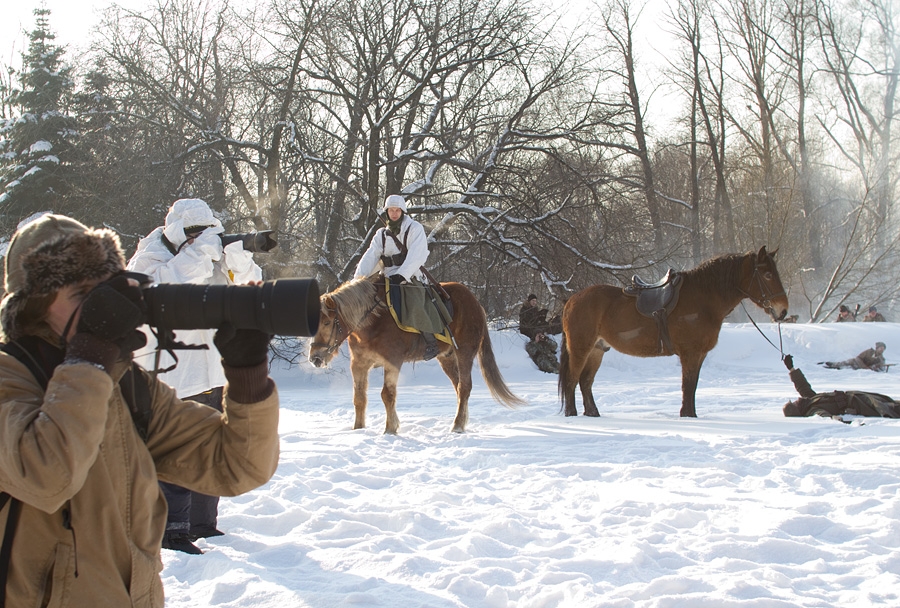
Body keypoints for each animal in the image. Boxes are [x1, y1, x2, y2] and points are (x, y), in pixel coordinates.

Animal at [310, 278, 524, 434]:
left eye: (327, 322)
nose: (315, 358)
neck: (373, 320)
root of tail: (475, 303)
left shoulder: (393, 362)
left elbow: (387, 395)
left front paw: (390, 429)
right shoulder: (359, 364)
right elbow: (359, 397)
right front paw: (358, 429)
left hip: (464, 352)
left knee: (464, 388)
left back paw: (457, 426)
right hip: (447, 357)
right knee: (459, 388)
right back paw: (461, 421)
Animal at [560, 247, 792, 418]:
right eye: (767, 274)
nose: (783, 310)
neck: (703, 299)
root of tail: (571, 300)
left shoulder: (699, 355)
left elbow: (693, 386)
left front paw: (690, 414)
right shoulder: (690, 353)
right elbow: (687, 385)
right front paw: (688, 415)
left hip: (597, 350)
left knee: (585, 382)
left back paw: (593, 413)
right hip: (581, 349)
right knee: (572, 379)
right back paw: (572, 414)